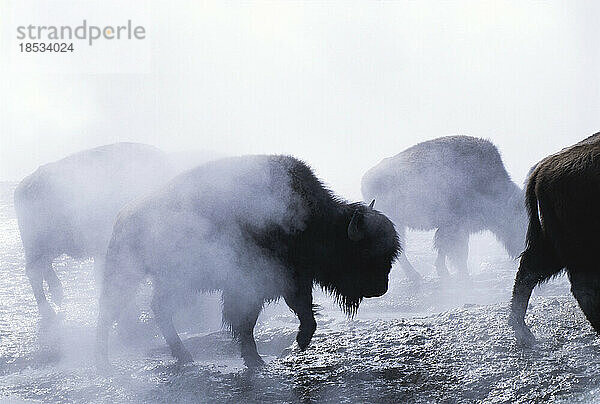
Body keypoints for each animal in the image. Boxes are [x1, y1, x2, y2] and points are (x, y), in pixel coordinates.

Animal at [14, 144, 175, 320]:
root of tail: (24, 186)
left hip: (50, 247)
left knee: (44, 266)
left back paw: (57, 295)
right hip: (38, 245)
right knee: (34, 272)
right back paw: (47, 310)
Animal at [96, 154, 400, 366]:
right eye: (365, 254)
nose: (381, 288)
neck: (311, 220)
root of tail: (124, 216)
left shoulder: (293, 281)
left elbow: (303, 315)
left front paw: (295, 346)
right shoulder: (251, 286)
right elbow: (246, 322)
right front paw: (257, 360)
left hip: (173, 282)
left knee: (159, 309)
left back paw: (183, 356)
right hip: (127, 275)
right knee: (110, 312)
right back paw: (104, 362)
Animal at [360, 134, 524, 280]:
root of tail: (366, 179)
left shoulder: (452, 228)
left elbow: (443, 249)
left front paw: (445, 272)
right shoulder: (456, 227)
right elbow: (458, 252)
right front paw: (463, 275)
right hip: (396, 224)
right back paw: (415, 276)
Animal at [510, 133, 600, 344]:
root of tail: (542, 169)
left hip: (555, 245)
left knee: (529, 270)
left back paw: (523, 332)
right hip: (578, 245)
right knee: (583, 285)